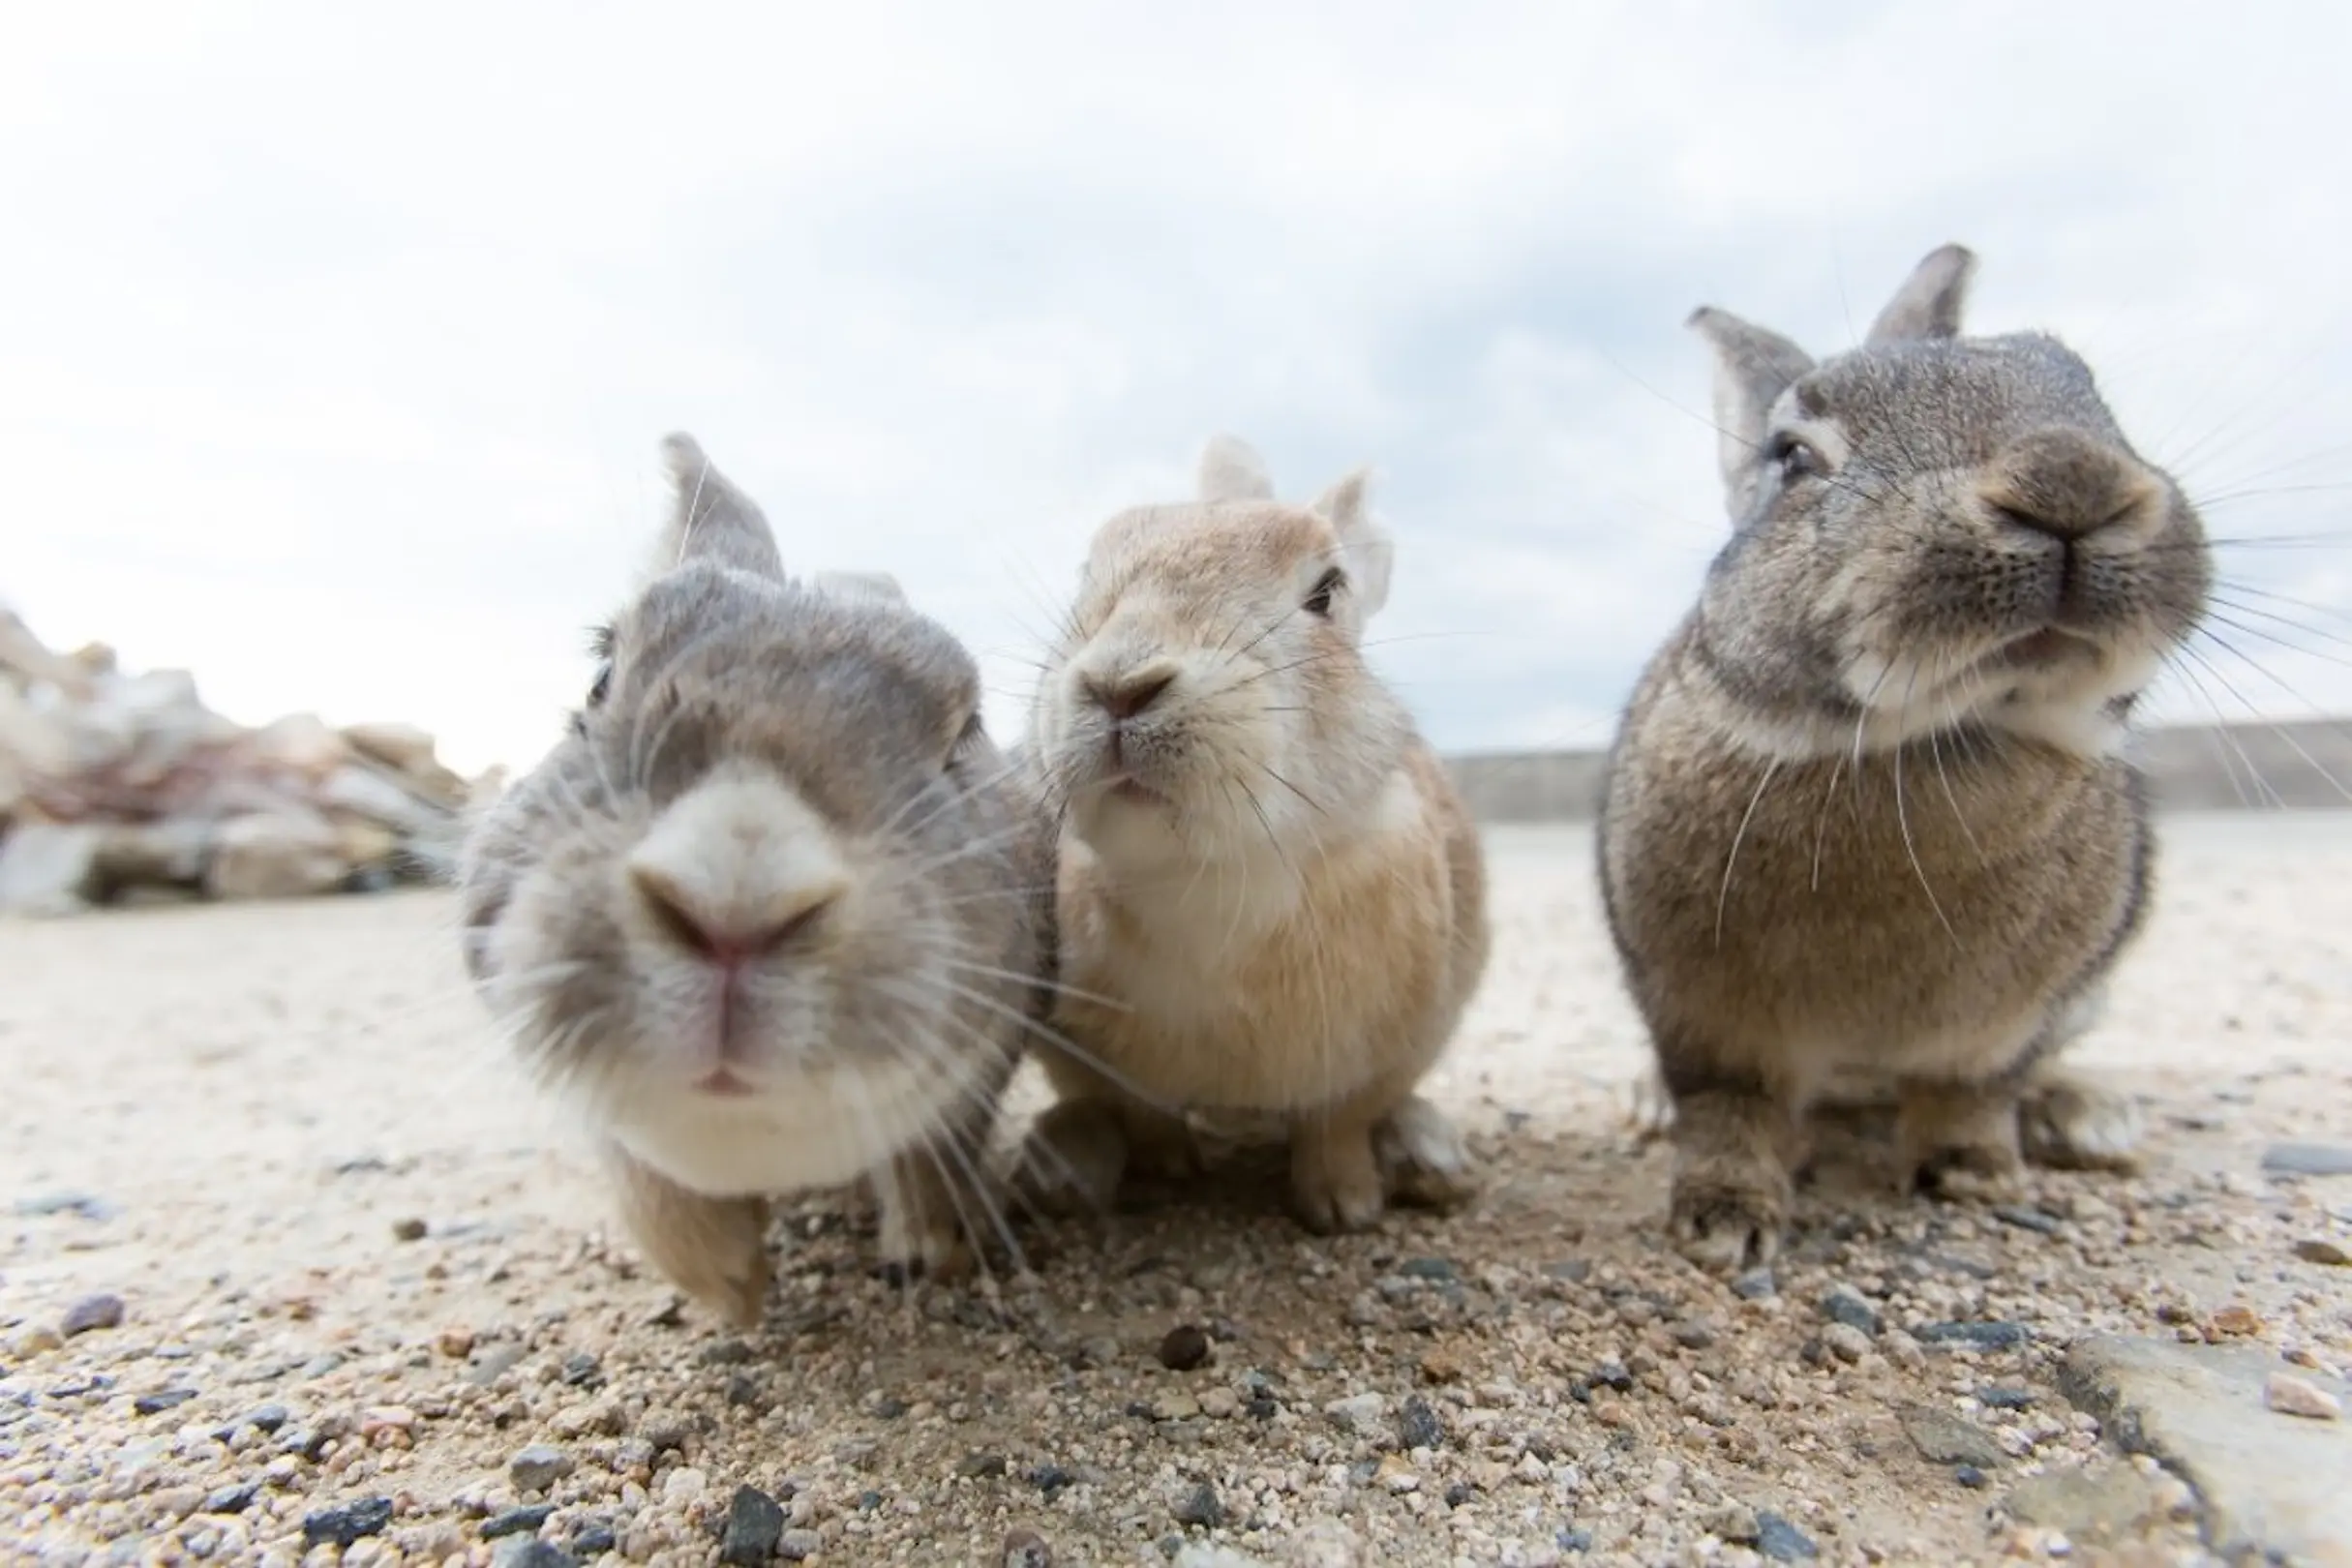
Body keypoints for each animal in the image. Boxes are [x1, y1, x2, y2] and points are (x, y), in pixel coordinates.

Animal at [451, 432, 1058, 1325]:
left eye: (963, 738)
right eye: (599, 679)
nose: (733, 909)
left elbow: (931, 1159)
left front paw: (924, 1256)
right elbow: (648, 1188)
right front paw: (729, 1286)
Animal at [1010, 435, 1486, 1231]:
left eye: (1326, 592)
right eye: (1088, 572)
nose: (1119, 686)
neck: (1209, 877)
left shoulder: (1386, 1046)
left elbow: (1338, 1123)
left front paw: (1344, 1206)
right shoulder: (1090, 1053)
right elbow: (1140, 1111)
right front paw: (1169, 1166)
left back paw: (1431, 1158)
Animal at [1599, 245, 2201, 1279]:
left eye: (2087, 389)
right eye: (1793, 457)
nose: (2071, 482)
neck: (1932, 740)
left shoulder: (2001, 1030)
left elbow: (1972, 1093)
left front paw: (1974, 1176)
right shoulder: (1705, 1019)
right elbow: (1729, 1110)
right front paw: (1722, 1221)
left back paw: (2084, 1116)